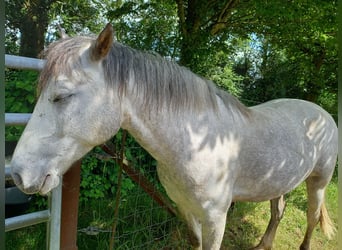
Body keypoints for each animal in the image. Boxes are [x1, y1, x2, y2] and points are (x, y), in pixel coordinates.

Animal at [10, 23, 336, 250]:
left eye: (62, 96)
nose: (17, 174)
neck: (196, 144)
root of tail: (323, 114)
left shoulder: (216, 218)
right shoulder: (185, 208)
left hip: (318, 182)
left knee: (311, 218)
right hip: (279, 182)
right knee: (278, 211)